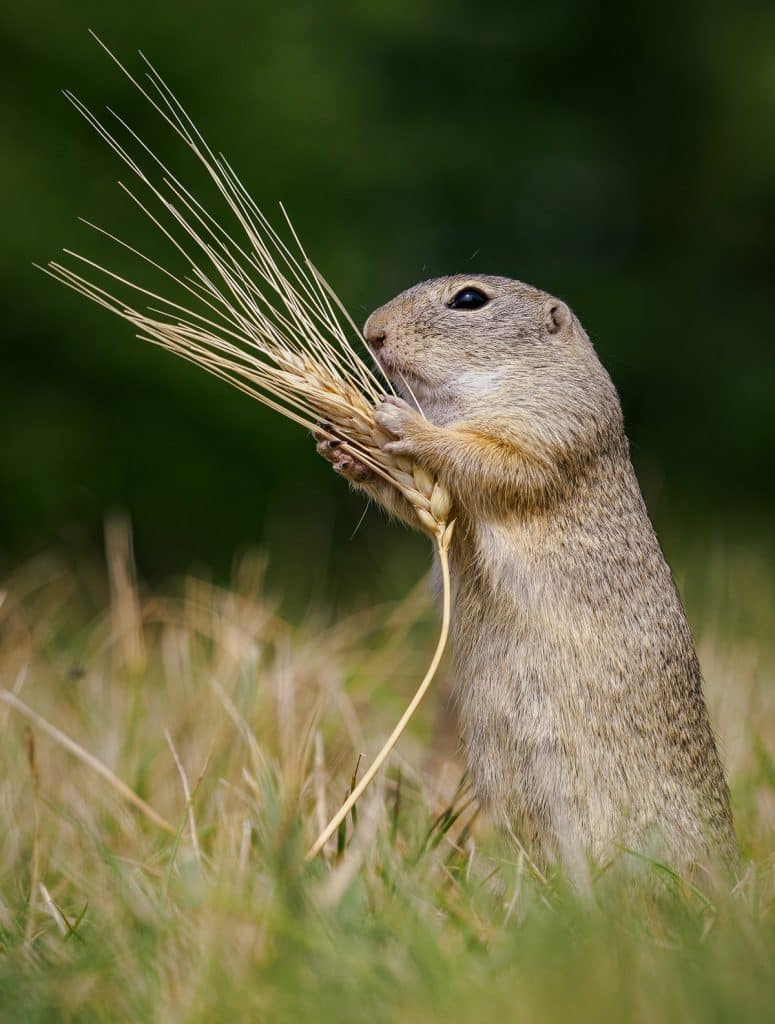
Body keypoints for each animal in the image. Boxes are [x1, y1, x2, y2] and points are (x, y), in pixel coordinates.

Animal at [315, 274, 737, 880]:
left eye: (469, 299)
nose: (373, 330)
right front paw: (341, 442)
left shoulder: (548, 431)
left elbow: (489, 458)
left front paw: (398, 419)